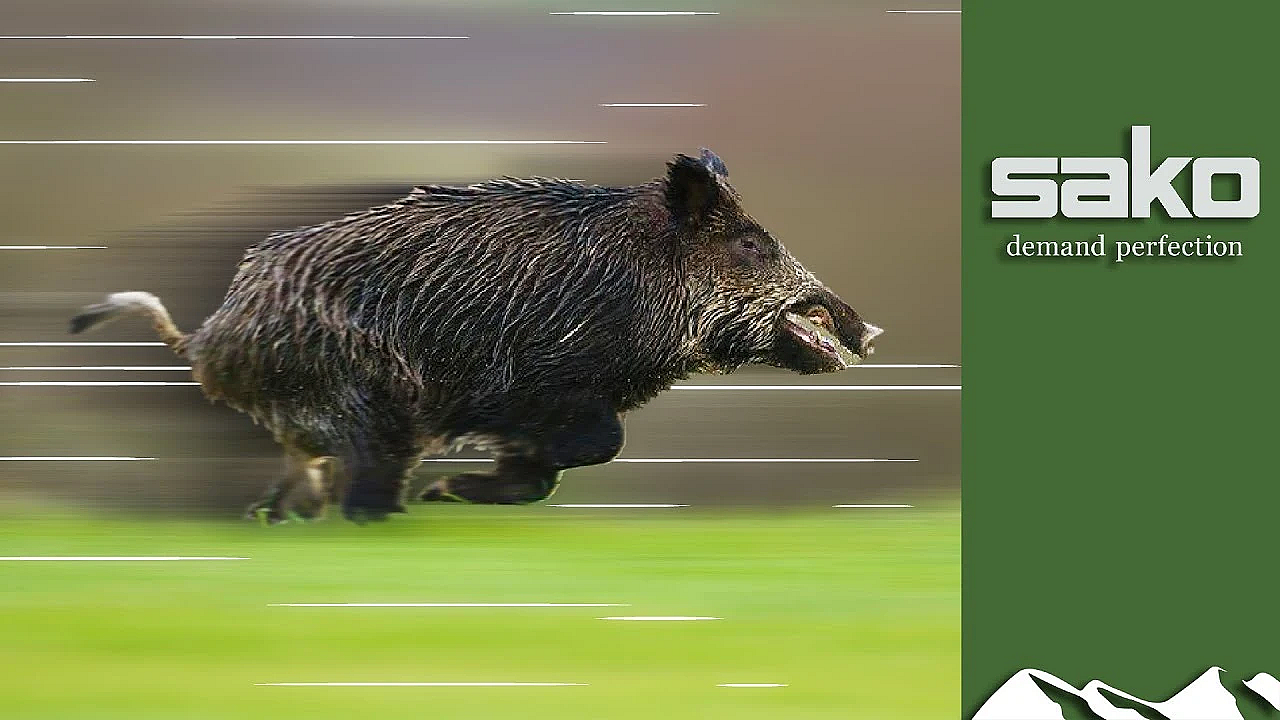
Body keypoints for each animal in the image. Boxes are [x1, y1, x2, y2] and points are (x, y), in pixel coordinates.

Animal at [70, 149, 883, 523]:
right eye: (751, 245)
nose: (868, 330)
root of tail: (210, 337)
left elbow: (554, 468)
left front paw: (460, 492)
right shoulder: (541, 383)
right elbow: (597, 446)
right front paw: (450, 493)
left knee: (302, 481)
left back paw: (286, 517)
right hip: (369, 402)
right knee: (364, 486)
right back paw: (388, 514)